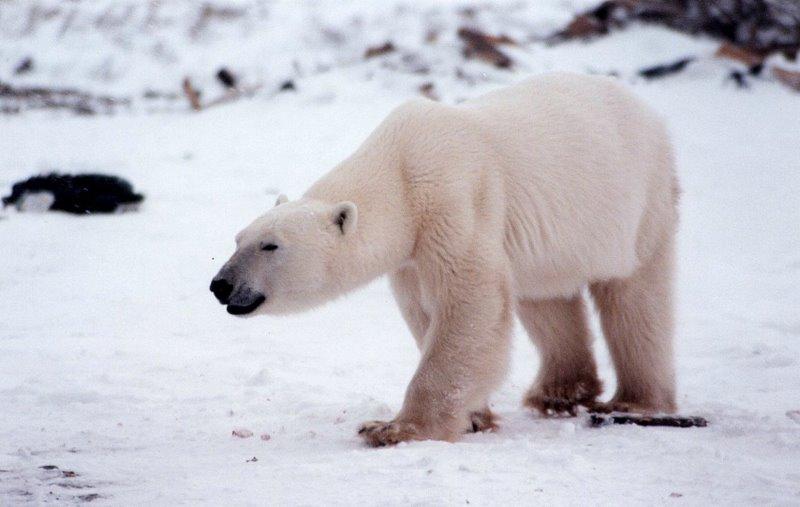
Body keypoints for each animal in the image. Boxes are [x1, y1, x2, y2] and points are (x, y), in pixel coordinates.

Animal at [209, 73, 680, 446]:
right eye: (238, 239)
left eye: (270, 246)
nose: (220, 285)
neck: (400, 170)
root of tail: (648, 110)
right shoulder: (411, 254)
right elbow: (425, 311)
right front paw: (475, 416)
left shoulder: (455, 200)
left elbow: (470, 302)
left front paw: (393, 428)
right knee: (545, 299)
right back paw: (559, 393)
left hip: (641, 198)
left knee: (636, 298)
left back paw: (635, 401)